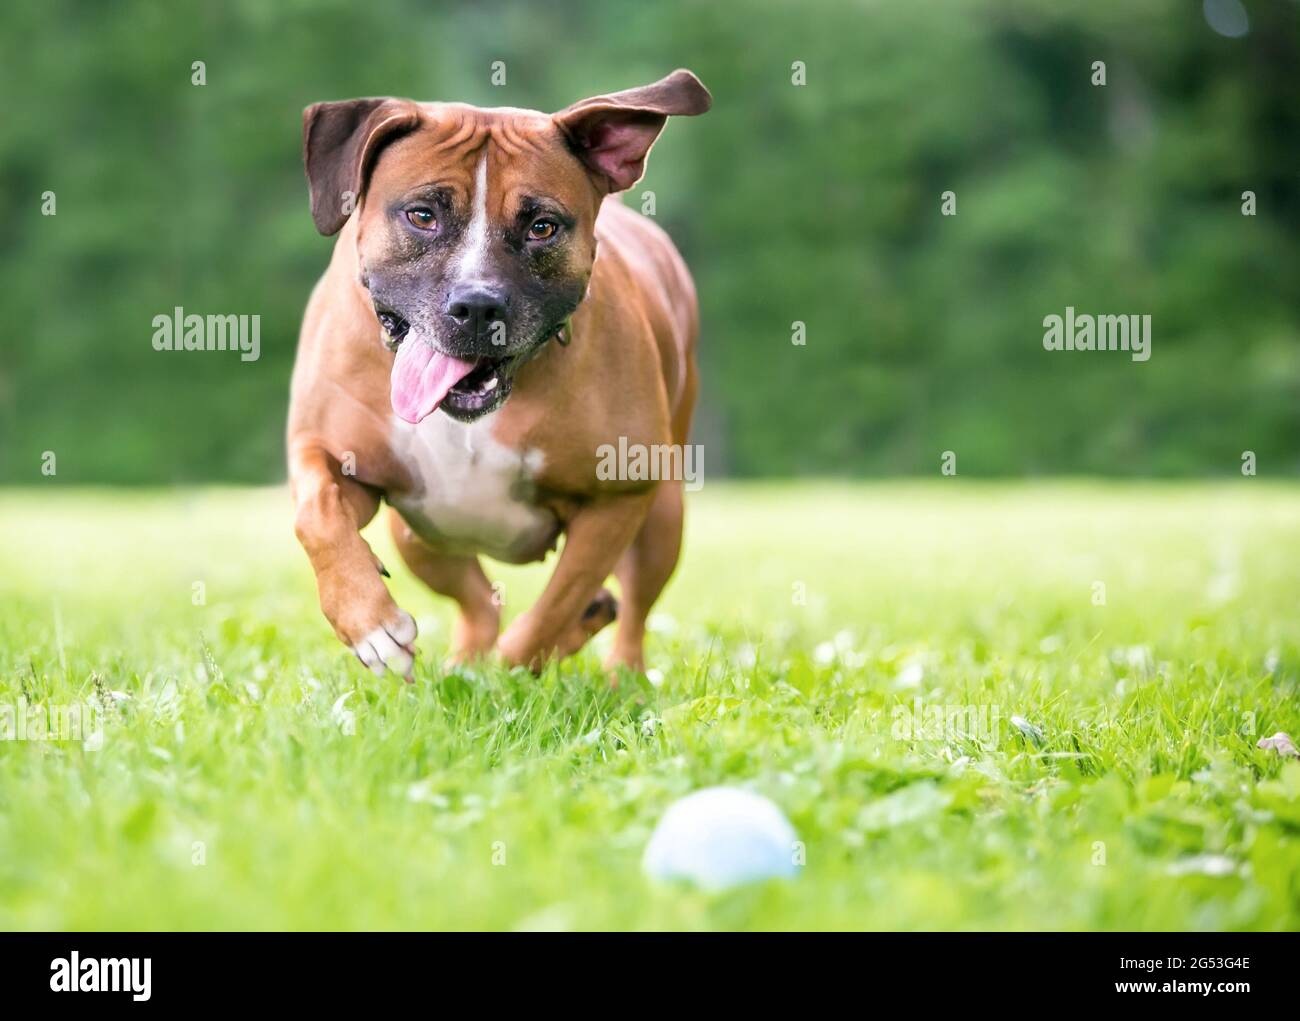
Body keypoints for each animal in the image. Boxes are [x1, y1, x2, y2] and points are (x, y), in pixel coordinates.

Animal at [287, 69, 712, 676]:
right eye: (422, 215)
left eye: (542, 227)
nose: (477, 305)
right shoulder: (328, 454)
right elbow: (316, 511)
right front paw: (369, 622)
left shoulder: (617, 499)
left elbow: (554, 606)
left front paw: (513, 673)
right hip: (420, 535)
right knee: (480, 603)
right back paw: (466, 664)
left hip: (662, 520)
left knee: (628, 612)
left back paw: (612, 672)